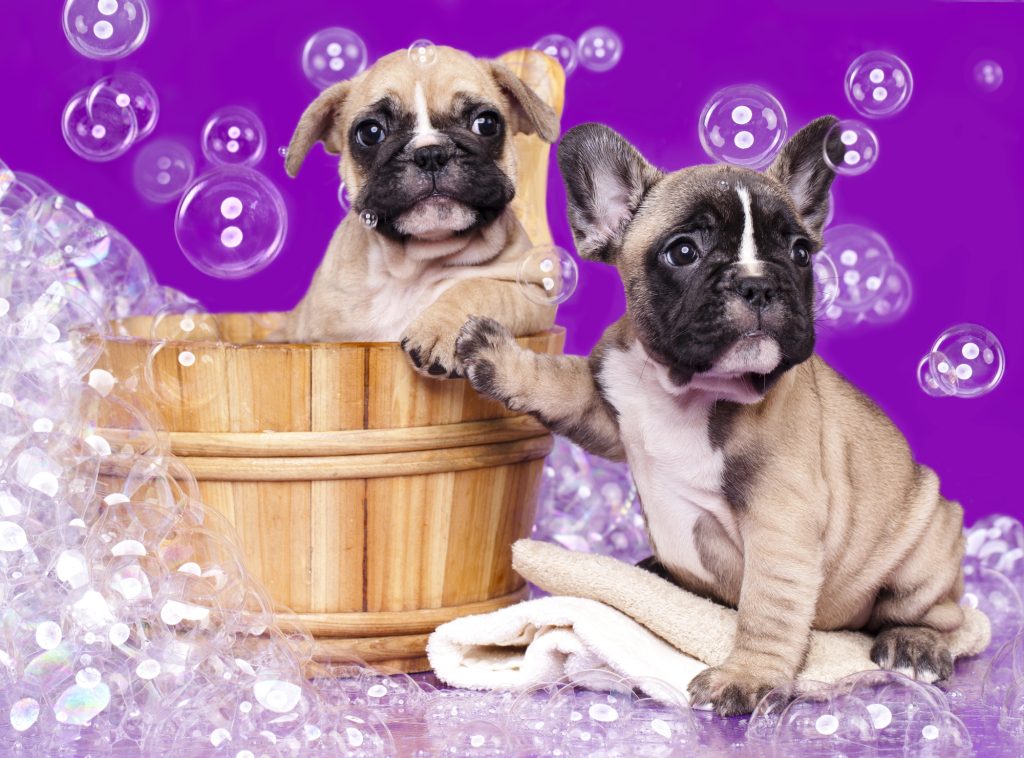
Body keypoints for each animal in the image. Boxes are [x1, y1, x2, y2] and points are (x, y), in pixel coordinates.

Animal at [280, 46, 561, 376]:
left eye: (486, 123)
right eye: (370, 132)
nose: (430, 153)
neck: (413, 266)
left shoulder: (535, 289)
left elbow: (479, 287)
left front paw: (439, 329)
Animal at [456, 119, 966, 717]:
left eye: (800, 252)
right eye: (683, 251)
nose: (759, 282)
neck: (688, 391)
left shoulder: (780, 522)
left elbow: (768, 607)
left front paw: (748, 675)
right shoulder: (608, 408)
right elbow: (560, 383)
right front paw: (500, 359)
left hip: (924, 541)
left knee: (940, 613)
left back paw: (914, 642)